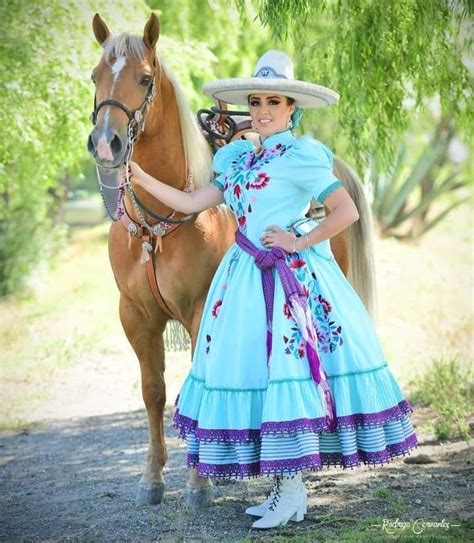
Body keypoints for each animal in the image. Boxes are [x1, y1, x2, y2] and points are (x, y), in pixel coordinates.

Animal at [87, 13, 376, 506]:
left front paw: (198, 483)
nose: (107, 143)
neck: (157, 223)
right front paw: (152, 478)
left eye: (144, 78)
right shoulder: (135, 315)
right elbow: (154, 392)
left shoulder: (198, 310)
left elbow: (196, 387)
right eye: (95, 76)